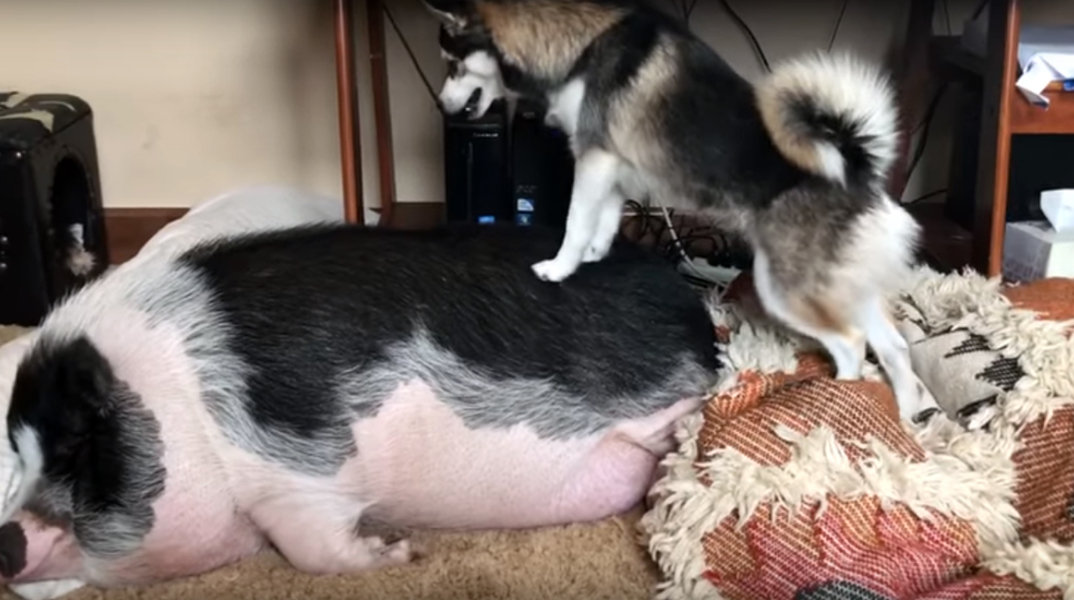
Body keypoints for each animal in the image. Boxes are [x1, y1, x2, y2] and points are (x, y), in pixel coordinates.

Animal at [0, 222, 718, 589]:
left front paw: (401, 555)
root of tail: (693, 311)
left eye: (75, 445)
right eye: (17, 452)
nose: (8, 538)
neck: (181, 406)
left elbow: (314, 548)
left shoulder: (296, 469)